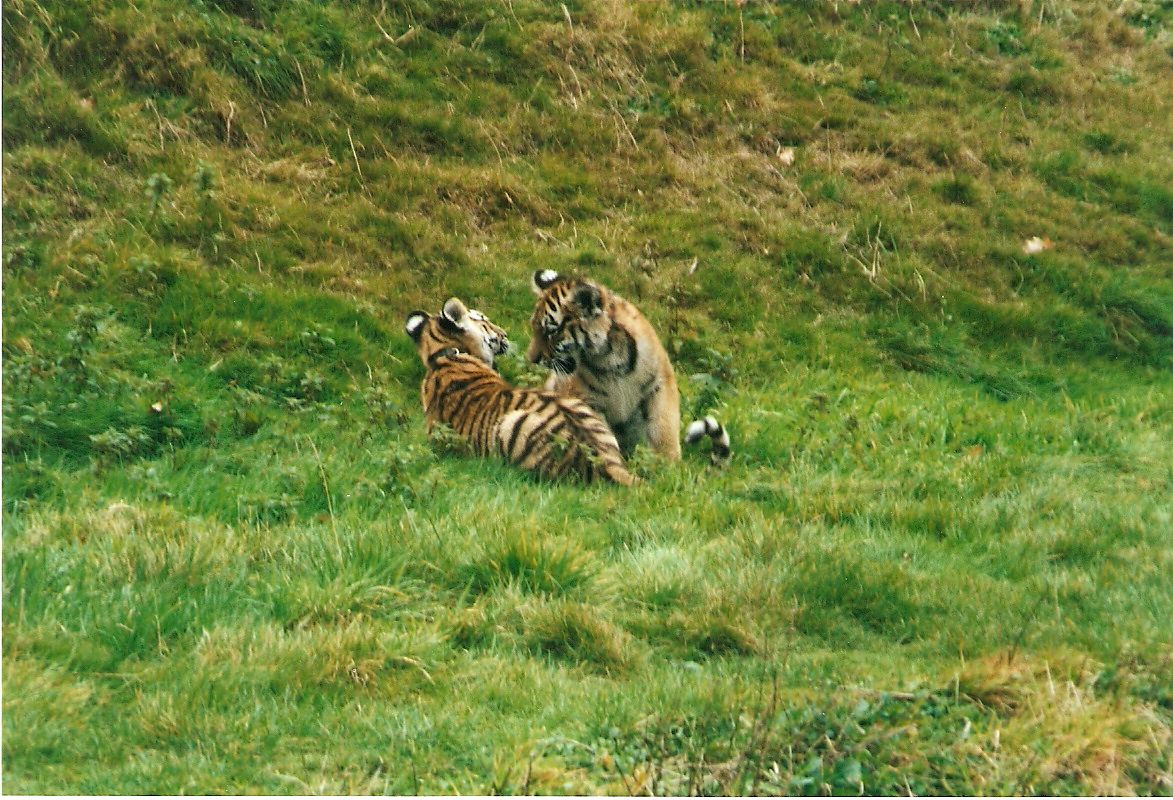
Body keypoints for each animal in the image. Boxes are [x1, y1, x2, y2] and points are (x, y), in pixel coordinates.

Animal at [526, 270, 731, 466]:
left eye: (551, 331)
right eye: (534, 327)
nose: (531, 358)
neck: (608, 358)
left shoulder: (659, 384)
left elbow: (664, 427)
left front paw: (668, 467)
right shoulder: (587, 399)